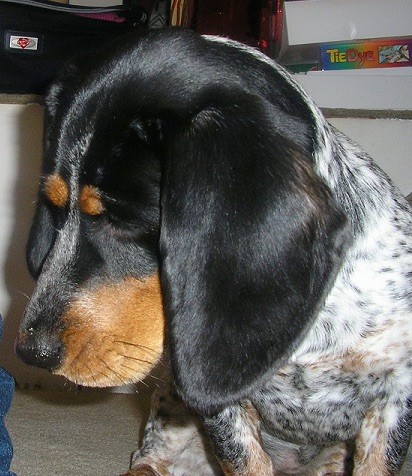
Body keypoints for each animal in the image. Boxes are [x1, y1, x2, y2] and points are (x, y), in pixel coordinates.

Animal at [14, 27, 410, 474]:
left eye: (123, 219)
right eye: (54, 205)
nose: (31, 353)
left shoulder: (395, 399)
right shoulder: (220, 409)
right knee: (150, 455)